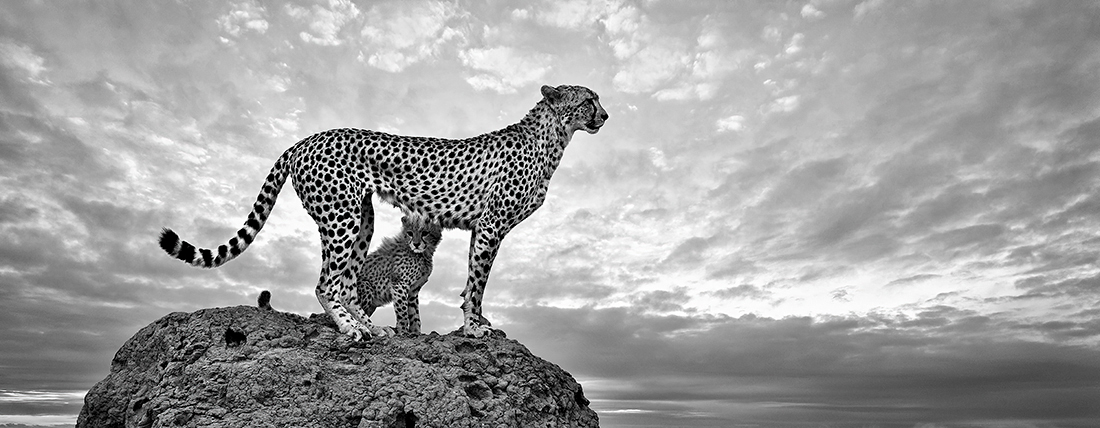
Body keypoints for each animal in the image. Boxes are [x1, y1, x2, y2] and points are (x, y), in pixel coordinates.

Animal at [158, 84, 608, 339]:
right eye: (589, 99)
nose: (605, 115)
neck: (552, 138)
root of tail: (305, 139)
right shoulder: (491, 225)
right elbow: (477, 283)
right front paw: (474, 327)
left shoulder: (482, 229)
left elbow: (471, 282)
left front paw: (472, 323)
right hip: (340, 217)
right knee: (326, 283)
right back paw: (351, 330)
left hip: (363, 219)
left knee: (345, 283)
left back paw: (370, 326)